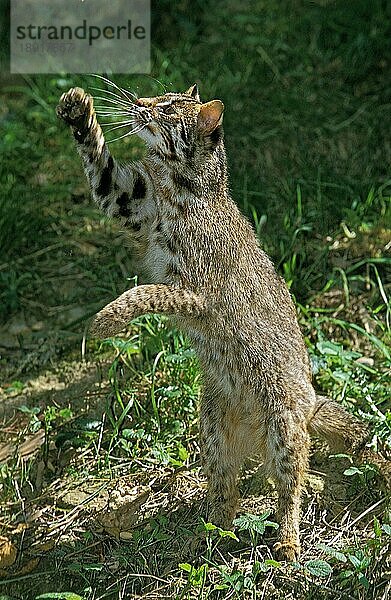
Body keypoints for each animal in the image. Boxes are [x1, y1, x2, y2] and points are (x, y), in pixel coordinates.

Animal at [56, 82, 388, 560]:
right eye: (159, 98)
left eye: (167, 108)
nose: (138, 104)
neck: (181, 182)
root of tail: (309, 399)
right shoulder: (129, 201)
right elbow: (100, 168)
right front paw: (78, 109)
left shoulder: (196, 293)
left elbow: (147, 292)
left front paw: (105, 321)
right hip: (212, 426)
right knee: (227, 490)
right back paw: (210, 535)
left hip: (284, 427)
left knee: (293, 485)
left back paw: (288, 541)